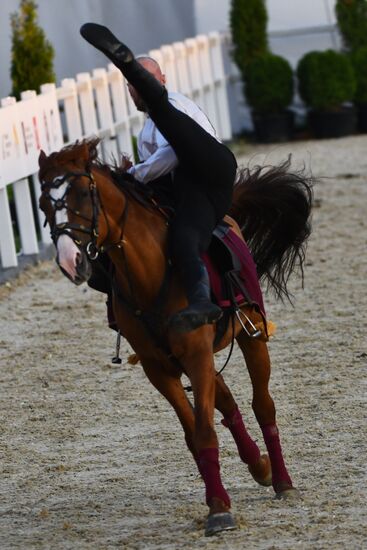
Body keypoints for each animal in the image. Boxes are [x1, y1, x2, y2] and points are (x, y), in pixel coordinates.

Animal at [37, 139, 314, 540]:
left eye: (83, 194)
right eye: (44, 203)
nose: (69, 260)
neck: (151, 272)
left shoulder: (196, 354)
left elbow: (204, 431)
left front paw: (219, 510)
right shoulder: (160, 368)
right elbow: (193, 435)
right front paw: (218, 500)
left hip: (251, 335)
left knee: (263, 405)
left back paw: (281, 480)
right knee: (228, 402)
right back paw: (257, 464)